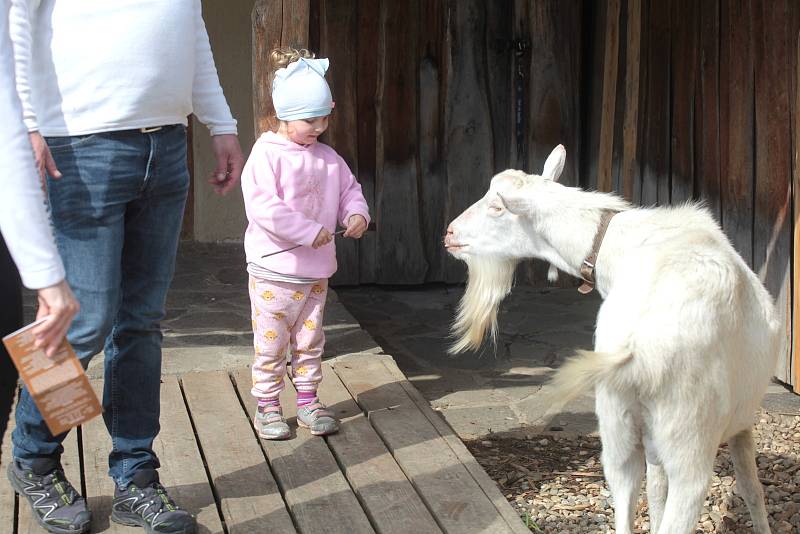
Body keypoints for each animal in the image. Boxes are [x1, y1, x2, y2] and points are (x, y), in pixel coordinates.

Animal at [446, 146, 780, 534]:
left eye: (497, 207)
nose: (449, 232)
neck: (623, 244)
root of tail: (639, 348)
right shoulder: (742, 418)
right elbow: (750, 486)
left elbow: (659, 489)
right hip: (689, 436)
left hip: (617, 424)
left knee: (627, 489)